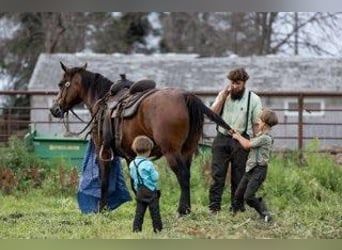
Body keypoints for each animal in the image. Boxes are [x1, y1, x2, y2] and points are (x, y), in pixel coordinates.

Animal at [50, 61, 232, 216]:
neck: (102, 102)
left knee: (183, 175)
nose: (54, 109)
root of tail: (185, 96)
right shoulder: (130, 155)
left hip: (172, 152)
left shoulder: (104, 152)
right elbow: (136, 182)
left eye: (61, 84)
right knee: (186, 175)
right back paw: (186, 209)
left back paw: (182, 211)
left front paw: (102, 210)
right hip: (187, 150)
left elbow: (104, 181)